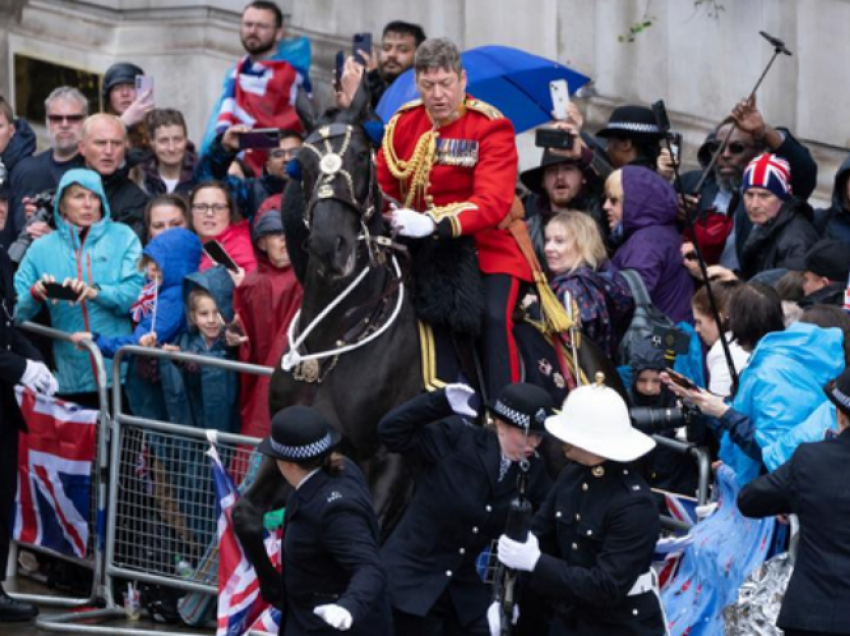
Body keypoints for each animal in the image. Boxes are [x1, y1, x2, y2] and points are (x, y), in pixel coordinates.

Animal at [232, 85, 624, 608]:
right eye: (304, 164)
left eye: (362, 156)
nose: (331, 246)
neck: (339, 337)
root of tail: (597, 366)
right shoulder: (293, 448)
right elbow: (245, 514)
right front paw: (276, 590)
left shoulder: (392, 464)